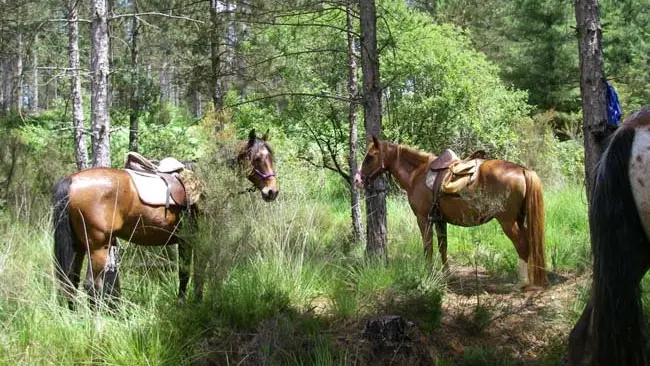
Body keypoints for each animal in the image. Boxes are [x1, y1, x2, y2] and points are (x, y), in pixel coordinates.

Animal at [52, 129, 278, 308]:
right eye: (257, 158)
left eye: (271, 158)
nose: (272, 192)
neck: (206, 182)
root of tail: (72, 180)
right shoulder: (197, 239)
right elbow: (195, 272)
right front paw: (196, 303)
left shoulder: (185, 241)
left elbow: (184, 274)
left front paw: (182, 304)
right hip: (98, 246)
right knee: (91, 285)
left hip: (79, 245)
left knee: (70, 281)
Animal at [354, 136, 548, 288]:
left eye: (370, 157)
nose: (357, 180)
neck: (417, 174)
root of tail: (522, 170)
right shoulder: (440, 219)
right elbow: (442, 246)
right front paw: (447, 275)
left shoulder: (423, 219)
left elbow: (428, 246)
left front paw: (428, 274)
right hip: (520, 219)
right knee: (529, 243)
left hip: (508, 221)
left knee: (522, 245)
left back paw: (522, 281)